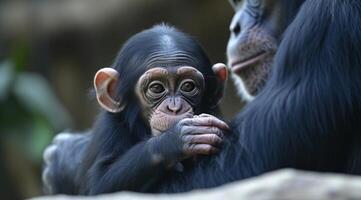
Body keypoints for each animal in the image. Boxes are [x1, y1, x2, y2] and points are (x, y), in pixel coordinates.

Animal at [42, 24, 228, 195]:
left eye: (188, 86)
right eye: (157, 88)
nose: (174, 107)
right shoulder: (110, 128)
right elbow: (100, 184)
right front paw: (175, 139)